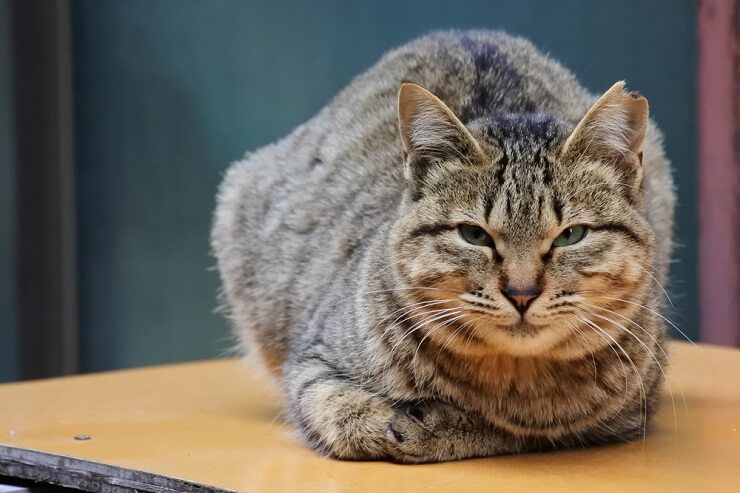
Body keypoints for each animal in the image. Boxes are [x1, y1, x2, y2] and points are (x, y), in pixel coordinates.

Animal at [210, 30, 676, 462]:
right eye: (474, 235)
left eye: (570, 235)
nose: (521, 293)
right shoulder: (311, 366)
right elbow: (341, 413)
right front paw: (393, 421)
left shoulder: (628, 410)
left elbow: (518, 431)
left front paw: (436, 427)